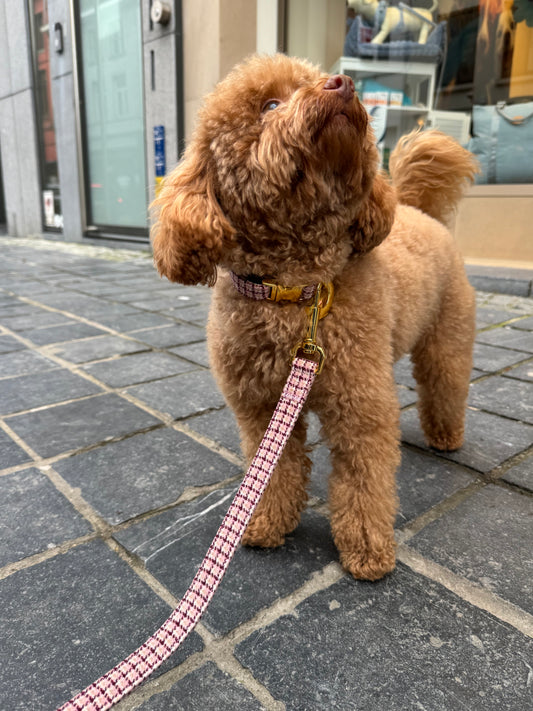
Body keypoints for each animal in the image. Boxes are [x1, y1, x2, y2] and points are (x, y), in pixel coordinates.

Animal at [151, 54, 476, 581]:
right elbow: (274, 469)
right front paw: (264, 522)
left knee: (445, 382)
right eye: (268, 105)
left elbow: (364, 480)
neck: (295, 291)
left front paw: (367, 549)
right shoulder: (261, 406)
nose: (342, 84)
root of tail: (416, 210)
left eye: (312, 80)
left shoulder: (359, 403)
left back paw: (446, 435)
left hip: (447, 333)